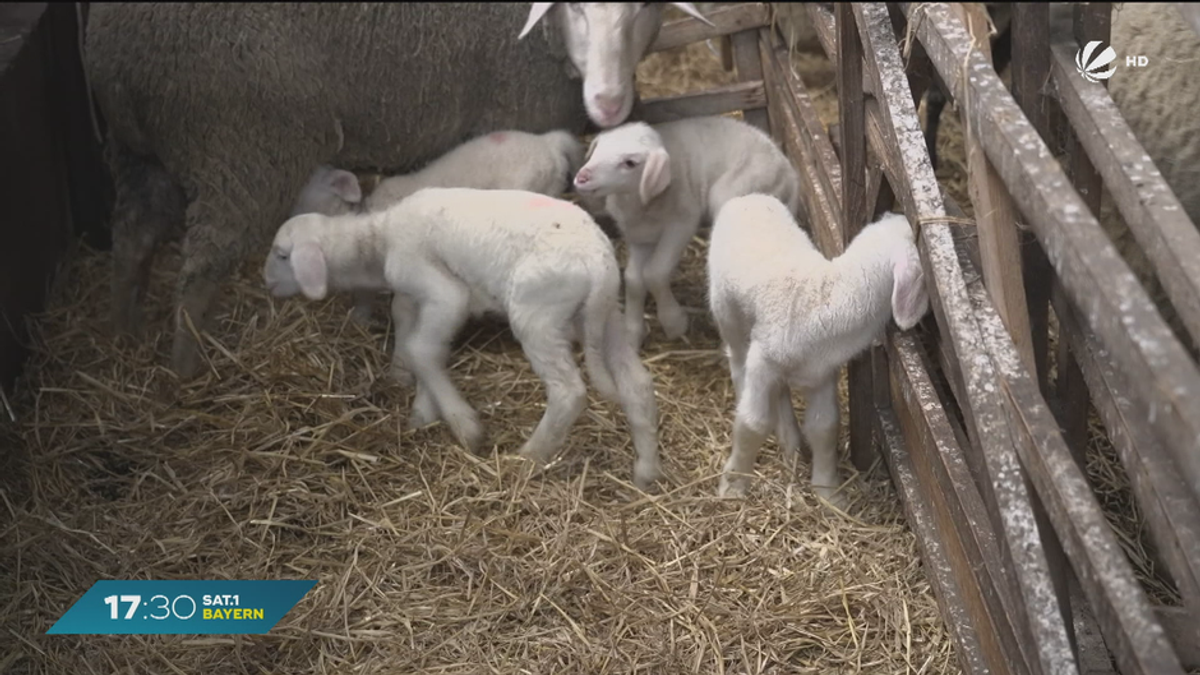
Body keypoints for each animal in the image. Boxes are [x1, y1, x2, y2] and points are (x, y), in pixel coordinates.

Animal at [91, 1, 710, 379]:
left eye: (645, 8)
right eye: (577, 8)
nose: (609, 103)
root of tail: (116, 51)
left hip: (140, 152)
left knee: (132, 239)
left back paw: (122, 332)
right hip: (241, 148)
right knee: (199, 269)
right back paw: (186, 368)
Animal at [259, 186, 667, 485]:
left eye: (281, 255)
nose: (266, 283)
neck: (377, 240)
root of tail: (597, 264)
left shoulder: (444, 292)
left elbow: (422, 349)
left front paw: (463, 424)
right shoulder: (419, 297)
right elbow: (414, 335)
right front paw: (421, 405)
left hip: (538, 314)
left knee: (568, 391)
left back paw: (530, 456)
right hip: (605, 316)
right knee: (636, 381)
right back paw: (646, 470)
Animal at [568, 114, 796, 345]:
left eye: (630, 163)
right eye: (597, 148)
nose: (582, 177)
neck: (638, 203)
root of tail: (790, 174)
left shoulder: (682, 222)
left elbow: (655, 272)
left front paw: (673, 322)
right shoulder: (639, 235)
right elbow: (633, 279)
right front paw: (632, 331)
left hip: (732, 191)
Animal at [705, 194, 931, 504]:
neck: (827, 295)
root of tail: (748, 197)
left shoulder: (822, 374)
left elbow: (824, 426)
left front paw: (828, 492)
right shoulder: (762, 362)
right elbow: (753, 423)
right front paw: (734, 484)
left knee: (781, 394)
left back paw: (791, 442)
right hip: (727, 311)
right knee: (738, 361)